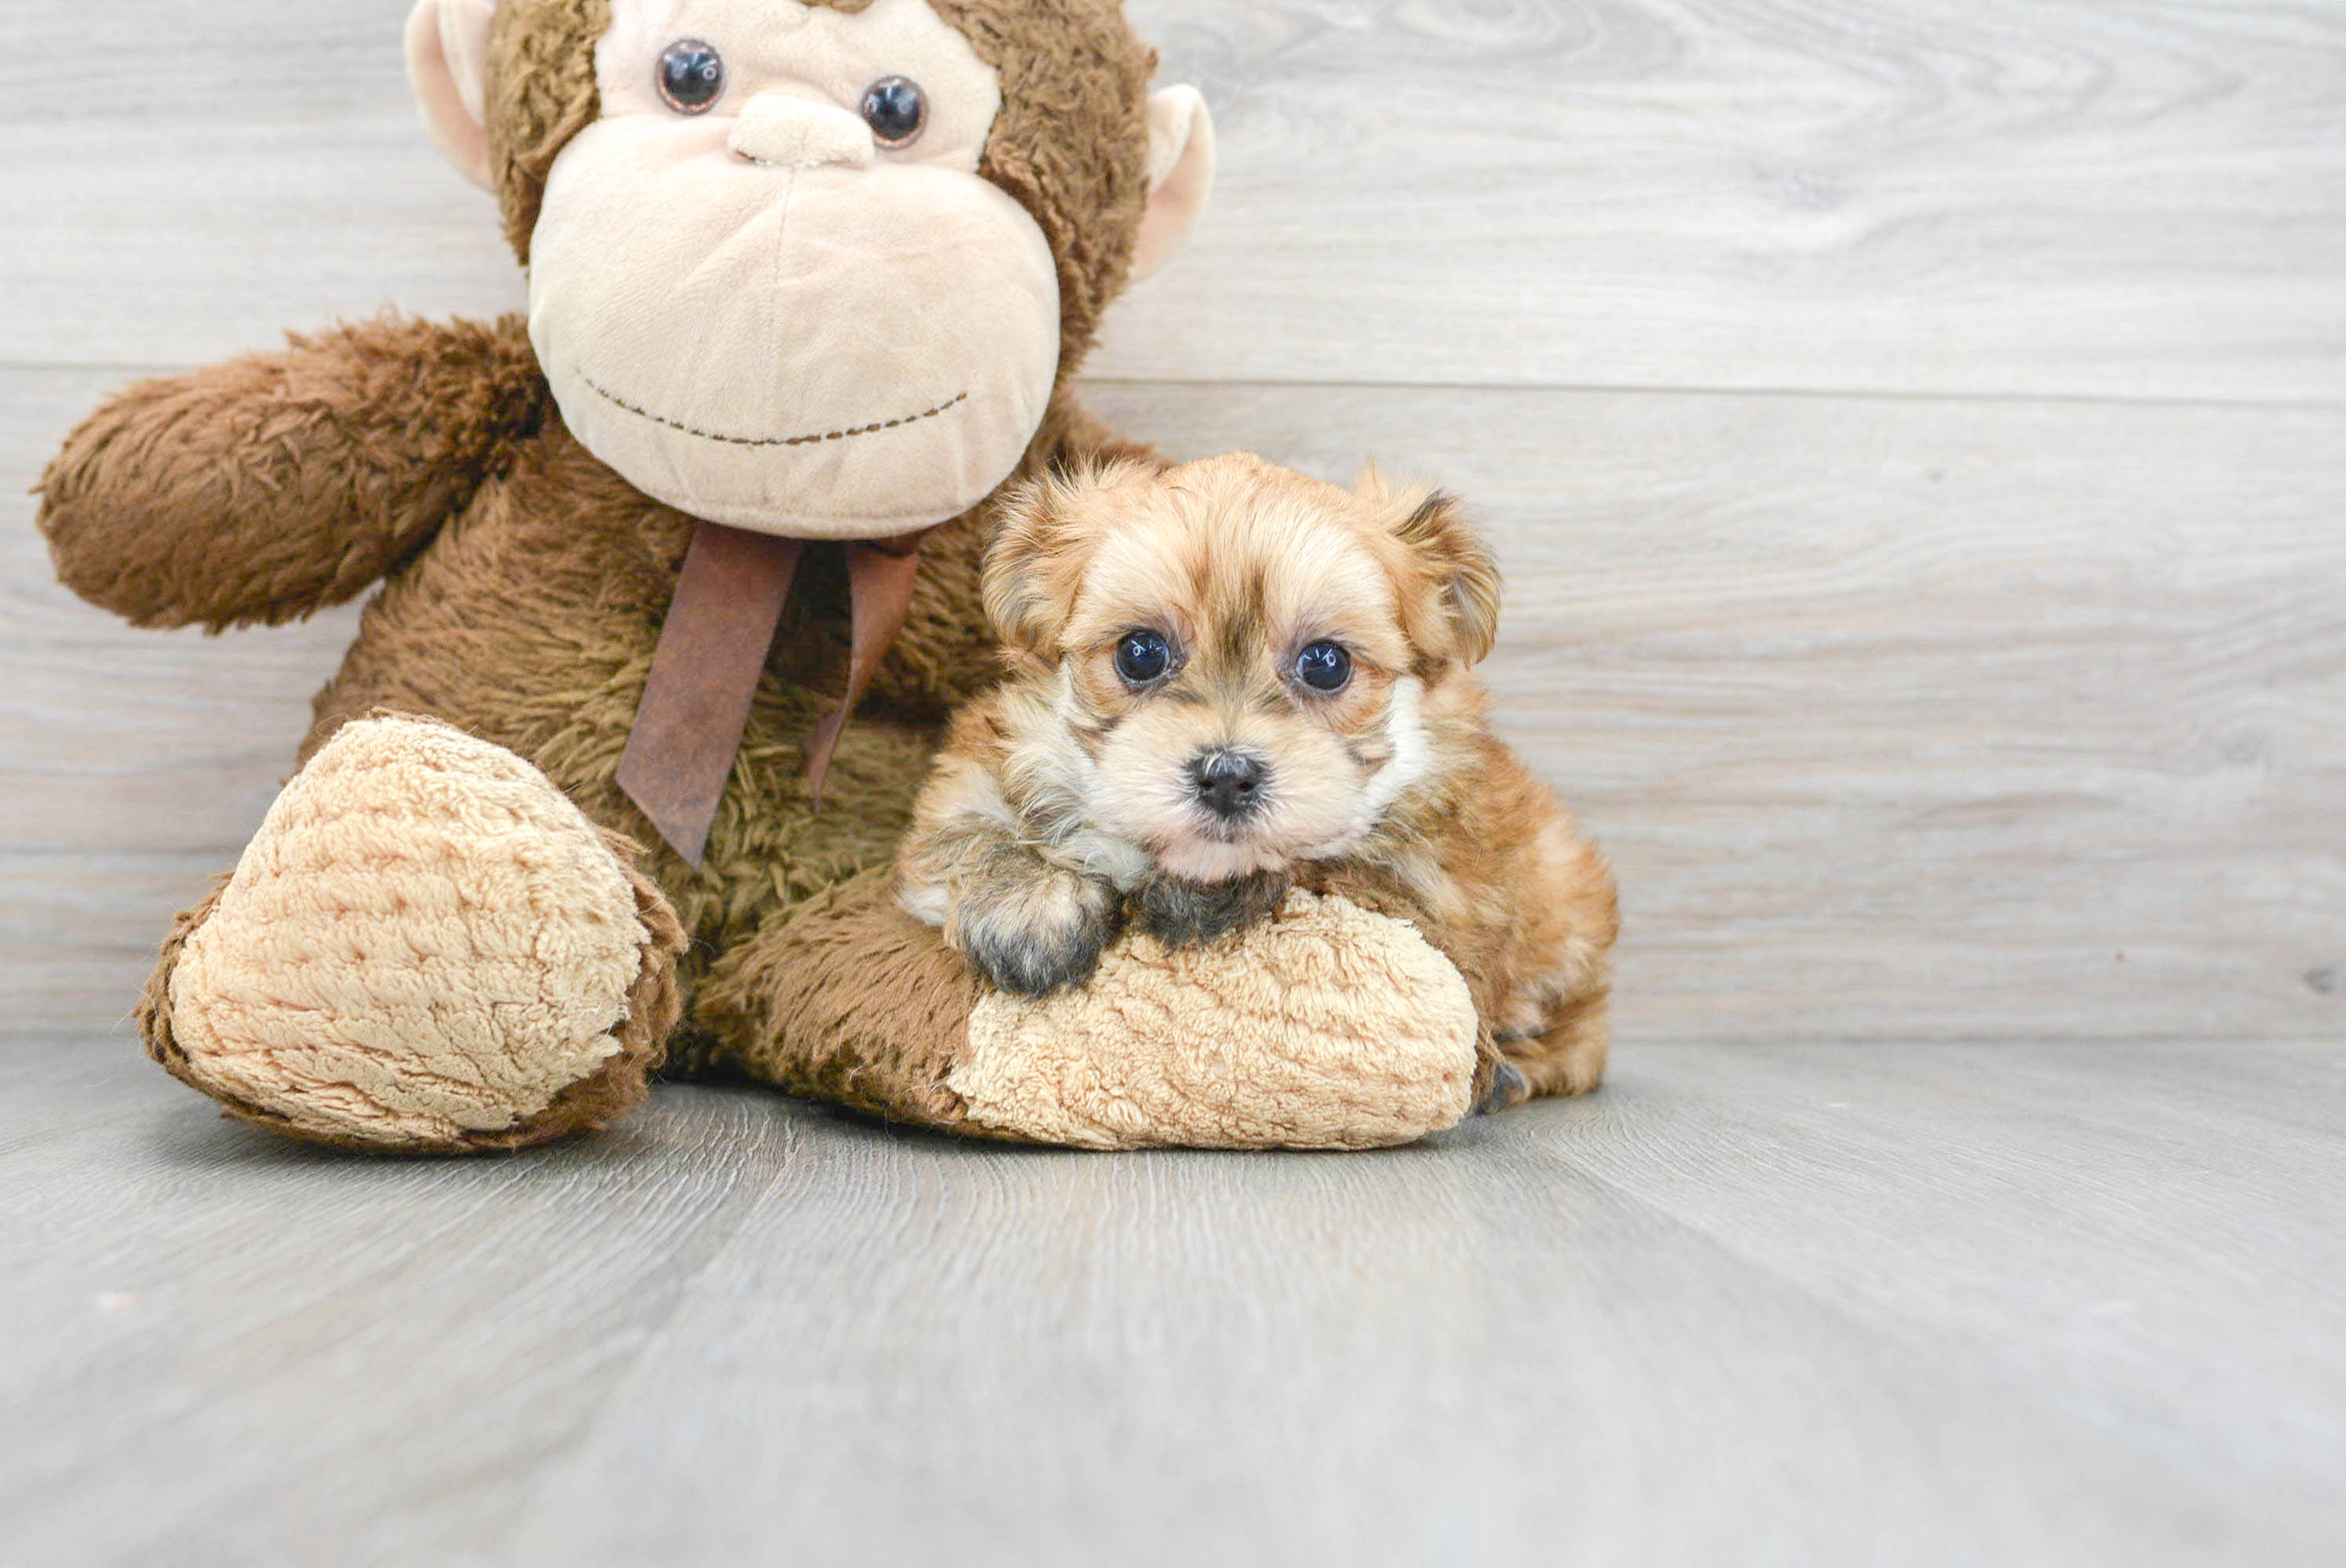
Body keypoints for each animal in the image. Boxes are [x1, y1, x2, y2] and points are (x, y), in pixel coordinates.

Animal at [891, 450, 1614, 1103]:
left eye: (1326, 663)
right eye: (1140, 653)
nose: (1227, 775)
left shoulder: (1434, 891)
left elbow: (1330, 868)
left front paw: (1204, 898)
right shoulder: (980, 767)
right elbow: (968, 827)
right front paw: (1028, 909)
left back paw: (1517, 1066)